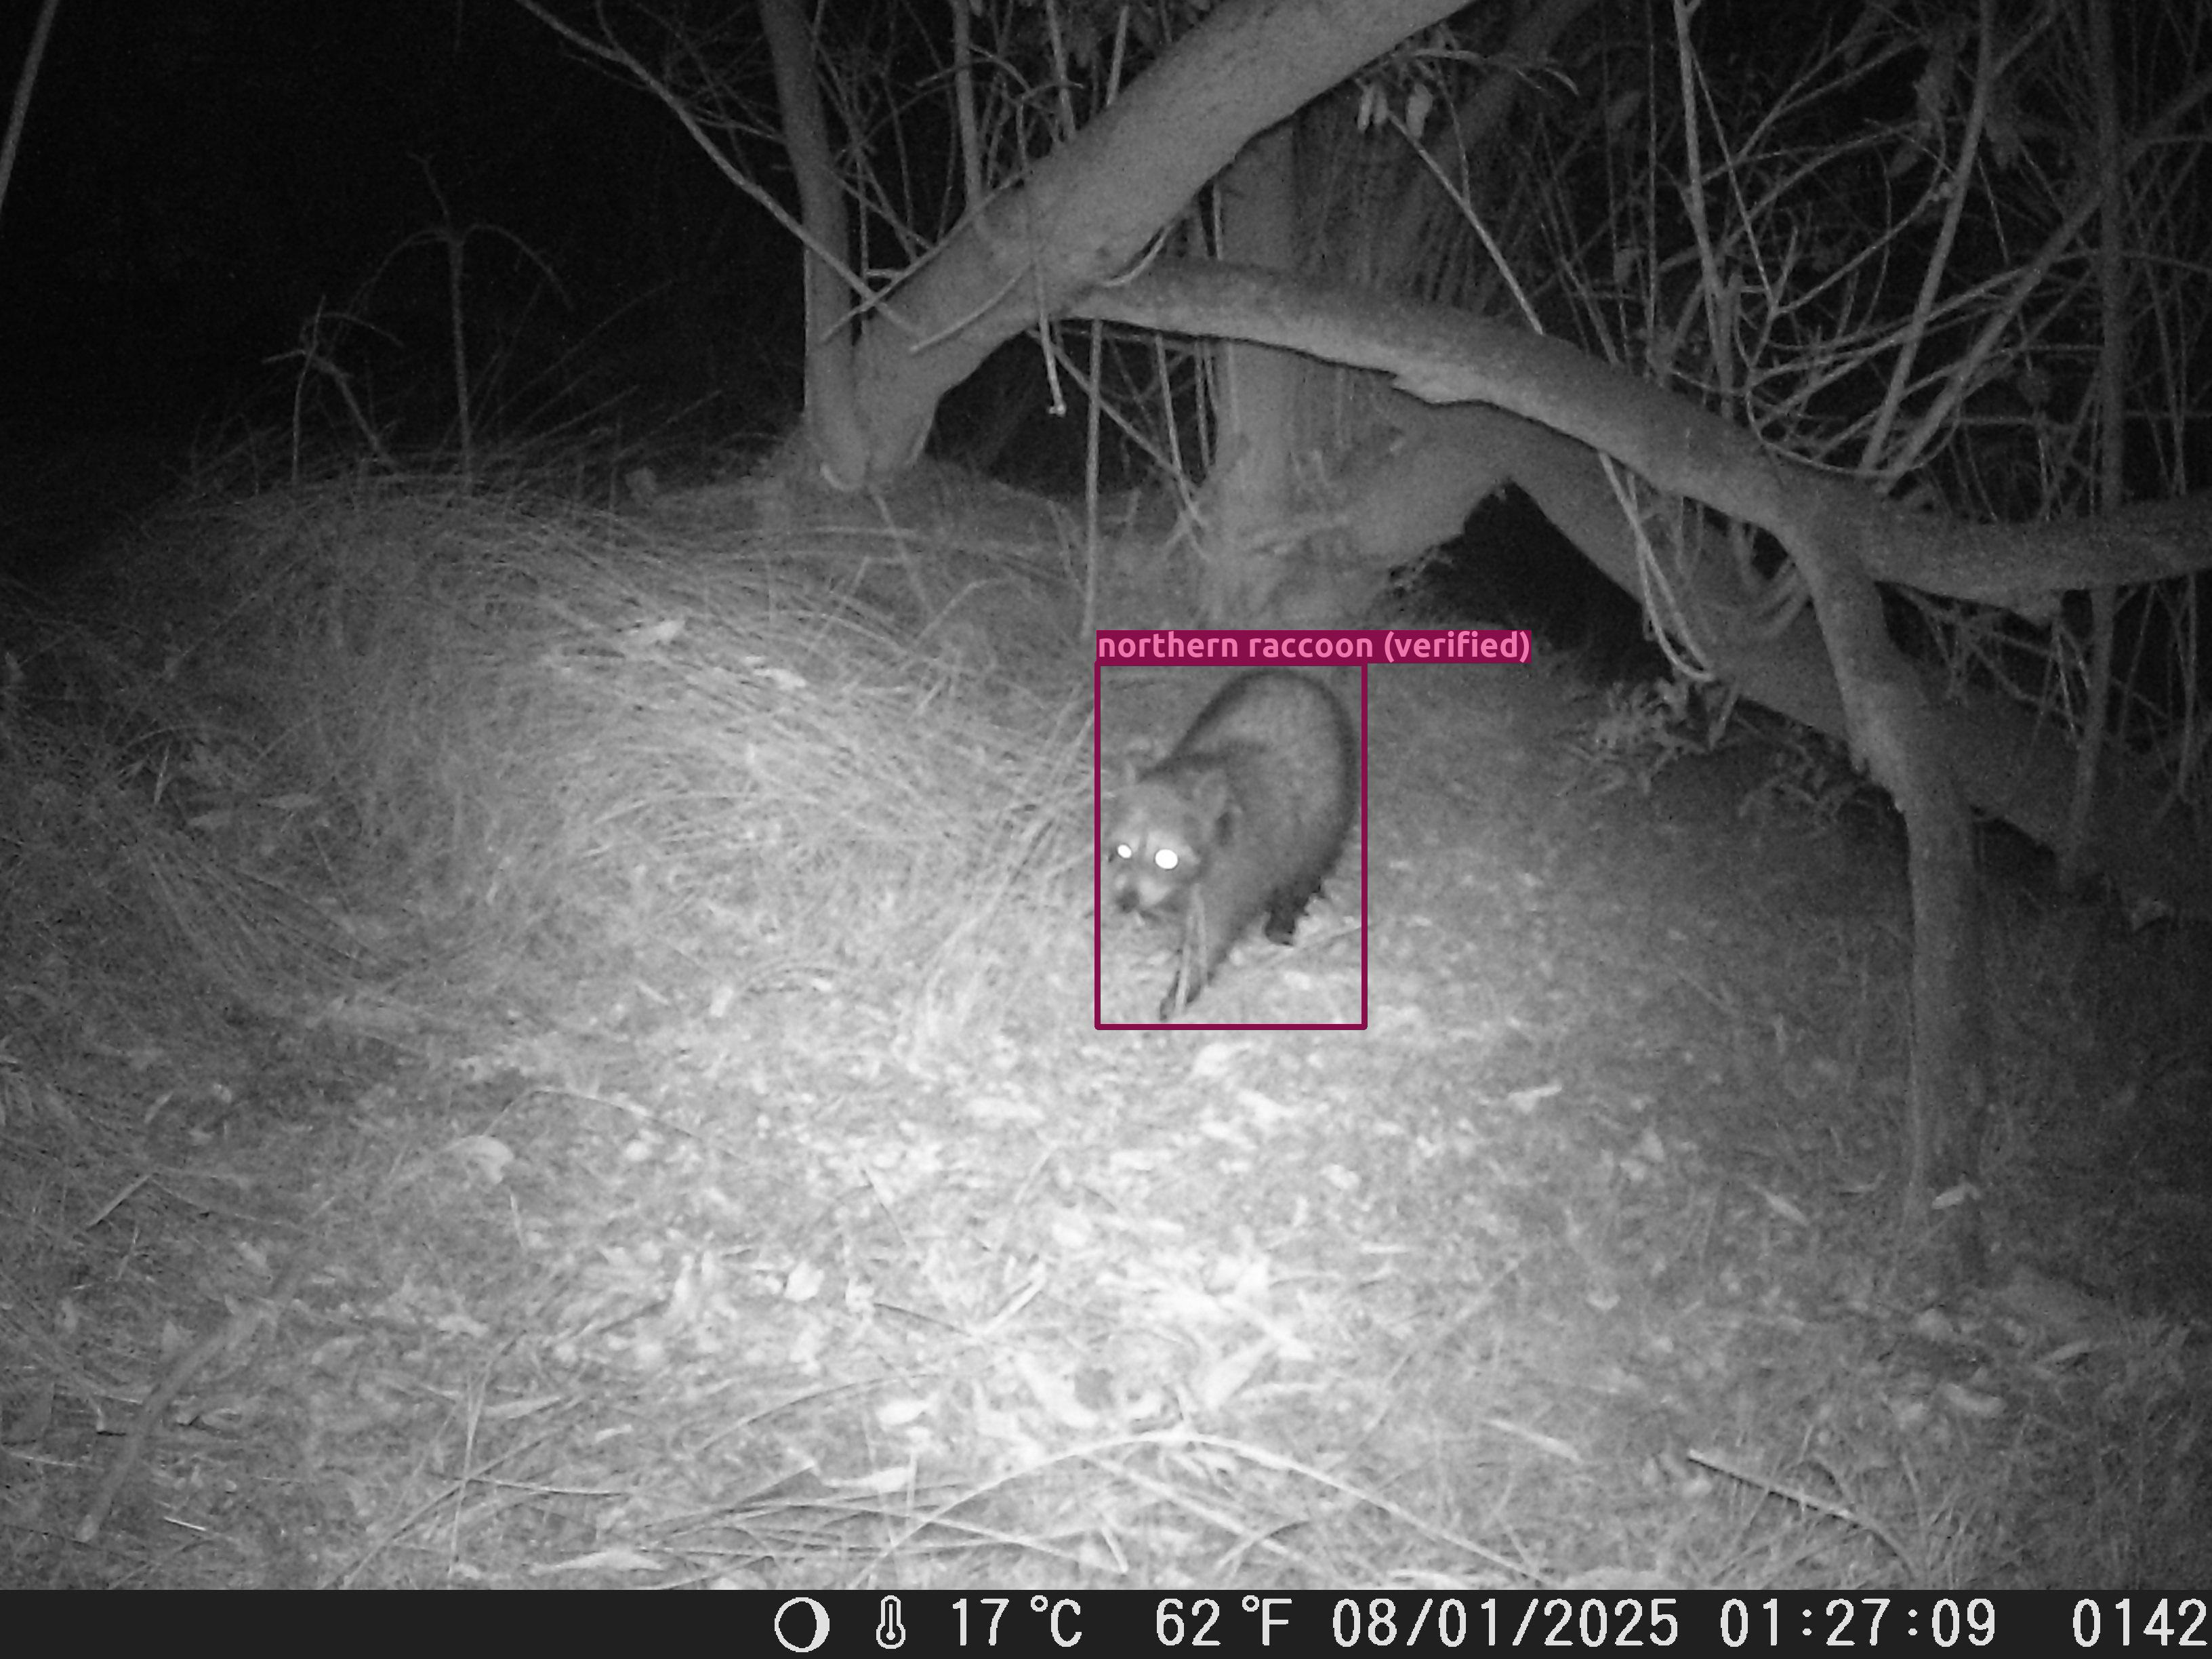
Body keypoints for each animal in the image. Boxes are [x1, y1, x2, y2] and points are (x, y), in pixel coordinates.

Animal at [1105, 668, 1359, 1019]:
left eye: (1166, 857)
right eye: (1123, 850)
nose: (1127, 901)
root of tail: (1296, 676)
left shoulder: (1235, 871)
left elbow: (1211, 937)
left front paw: (1181, 991)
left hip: (1329, 812)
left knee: (1304, 870)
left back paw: (1281, 921)